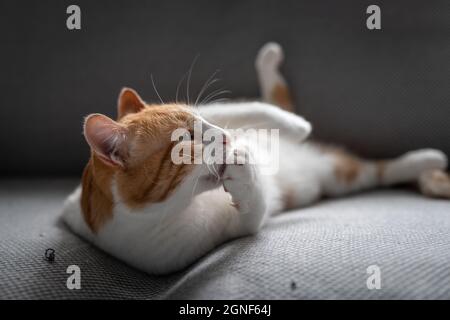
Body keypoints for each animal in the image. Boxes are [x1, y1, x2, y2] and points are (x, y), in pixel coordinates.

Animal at [60, 41, 450, 274]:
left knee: (276, 98)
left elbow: (253, 109)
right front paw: (243, 165)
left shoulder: (217, 111)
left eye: (200, 125)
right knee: (380, 170)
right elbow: (255, 207)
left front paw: (292, 127)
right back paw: (430, 163)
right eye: (185, 139)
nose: (224, 138)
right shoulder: (215, 235)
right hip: (343, 177)